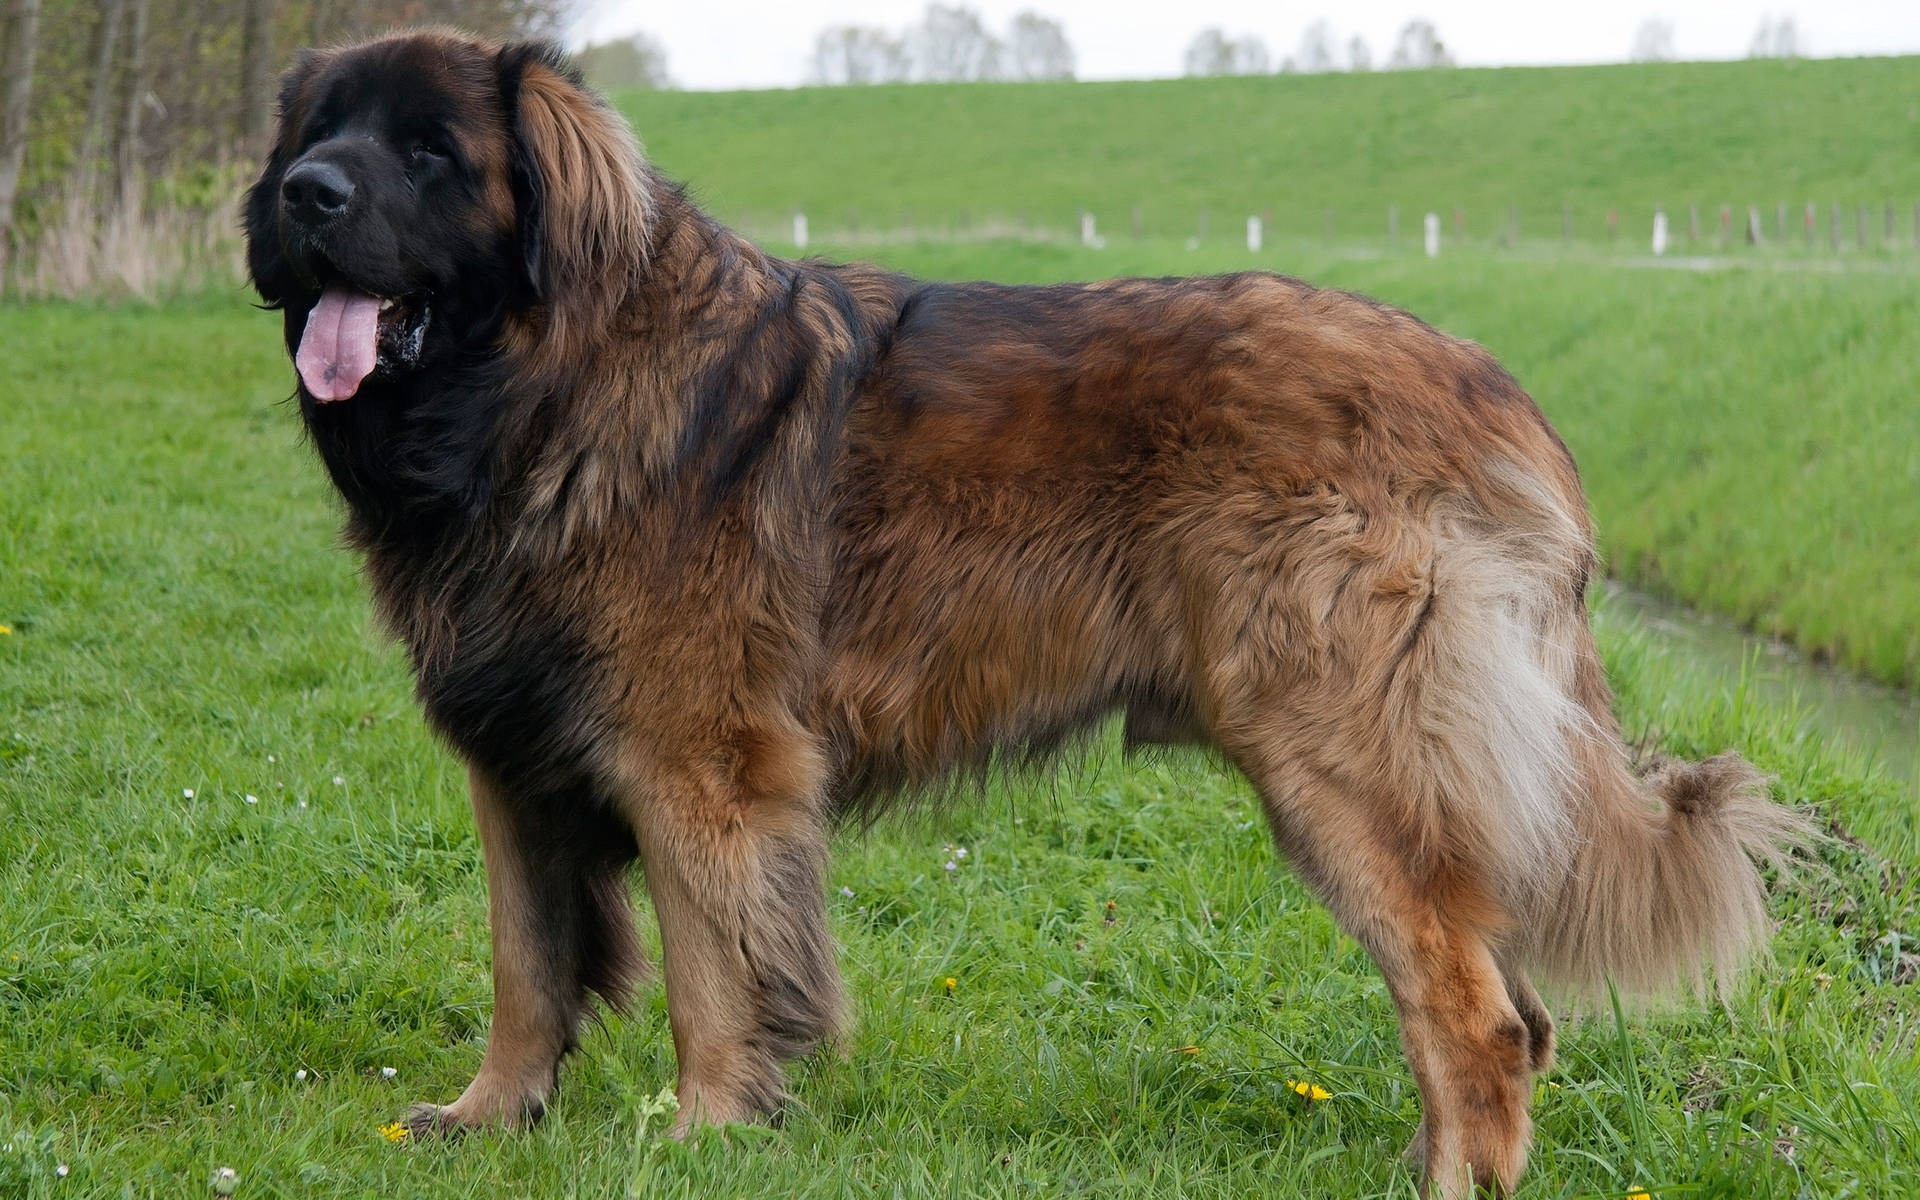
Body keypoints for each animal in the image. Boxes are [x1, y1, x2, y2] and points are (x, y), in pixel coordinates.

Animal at [247, 30, 1804, 1198]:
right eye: (317, 134)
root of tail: (1499, 388)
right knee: (1511, 1013)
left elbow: (712, 969)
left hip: (1347, 766)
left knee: (1474, 1018)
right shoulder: (512, 756)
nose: (307, 197)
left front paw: (704, 1130)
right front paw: (489, 1116)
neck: (544, 387)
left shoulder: (701, 760)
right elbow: (527, 959)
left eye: (431, 154)